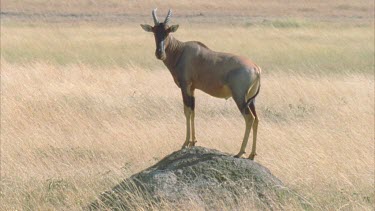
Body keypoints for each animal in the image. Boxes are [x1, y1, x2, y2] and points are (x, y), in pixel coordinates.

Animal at [141, 8, 262, 160]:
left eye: (168, 31)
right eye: (154, 31)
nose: (159, 53)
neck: (181, 51)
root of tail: (256, 68)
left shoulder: (185, 86)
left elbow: (187, 111)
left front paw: (185, 143)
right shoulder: (192, 88)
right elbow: (193, 111)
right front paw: (193, 142)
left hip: (240, 97)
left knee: (249, 119)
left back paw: (240, 152)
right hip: (251, 100)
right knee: (256, 119)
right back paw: (252, 155)